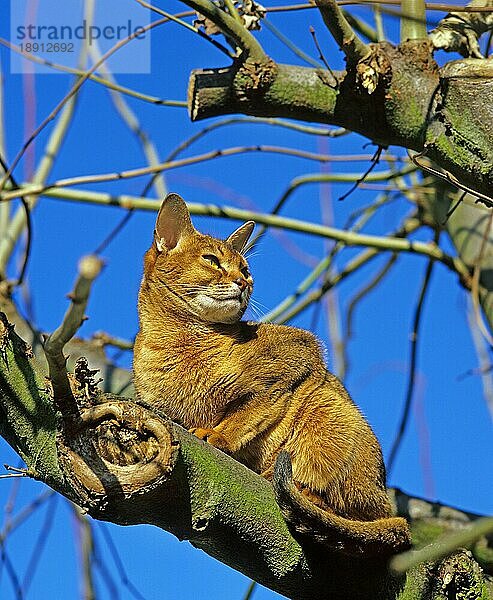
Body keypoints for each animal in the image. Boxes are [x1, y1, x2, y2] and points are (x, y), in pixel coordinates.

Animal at [133, 192, 410, 556]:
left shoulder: (295, 359)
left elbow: (245, 416)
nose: (243, 282)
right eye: (212, 260)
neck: (175, 341)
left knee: (352, 510)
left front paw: (215, 435)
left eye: (245, 269)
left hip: (326, 413)